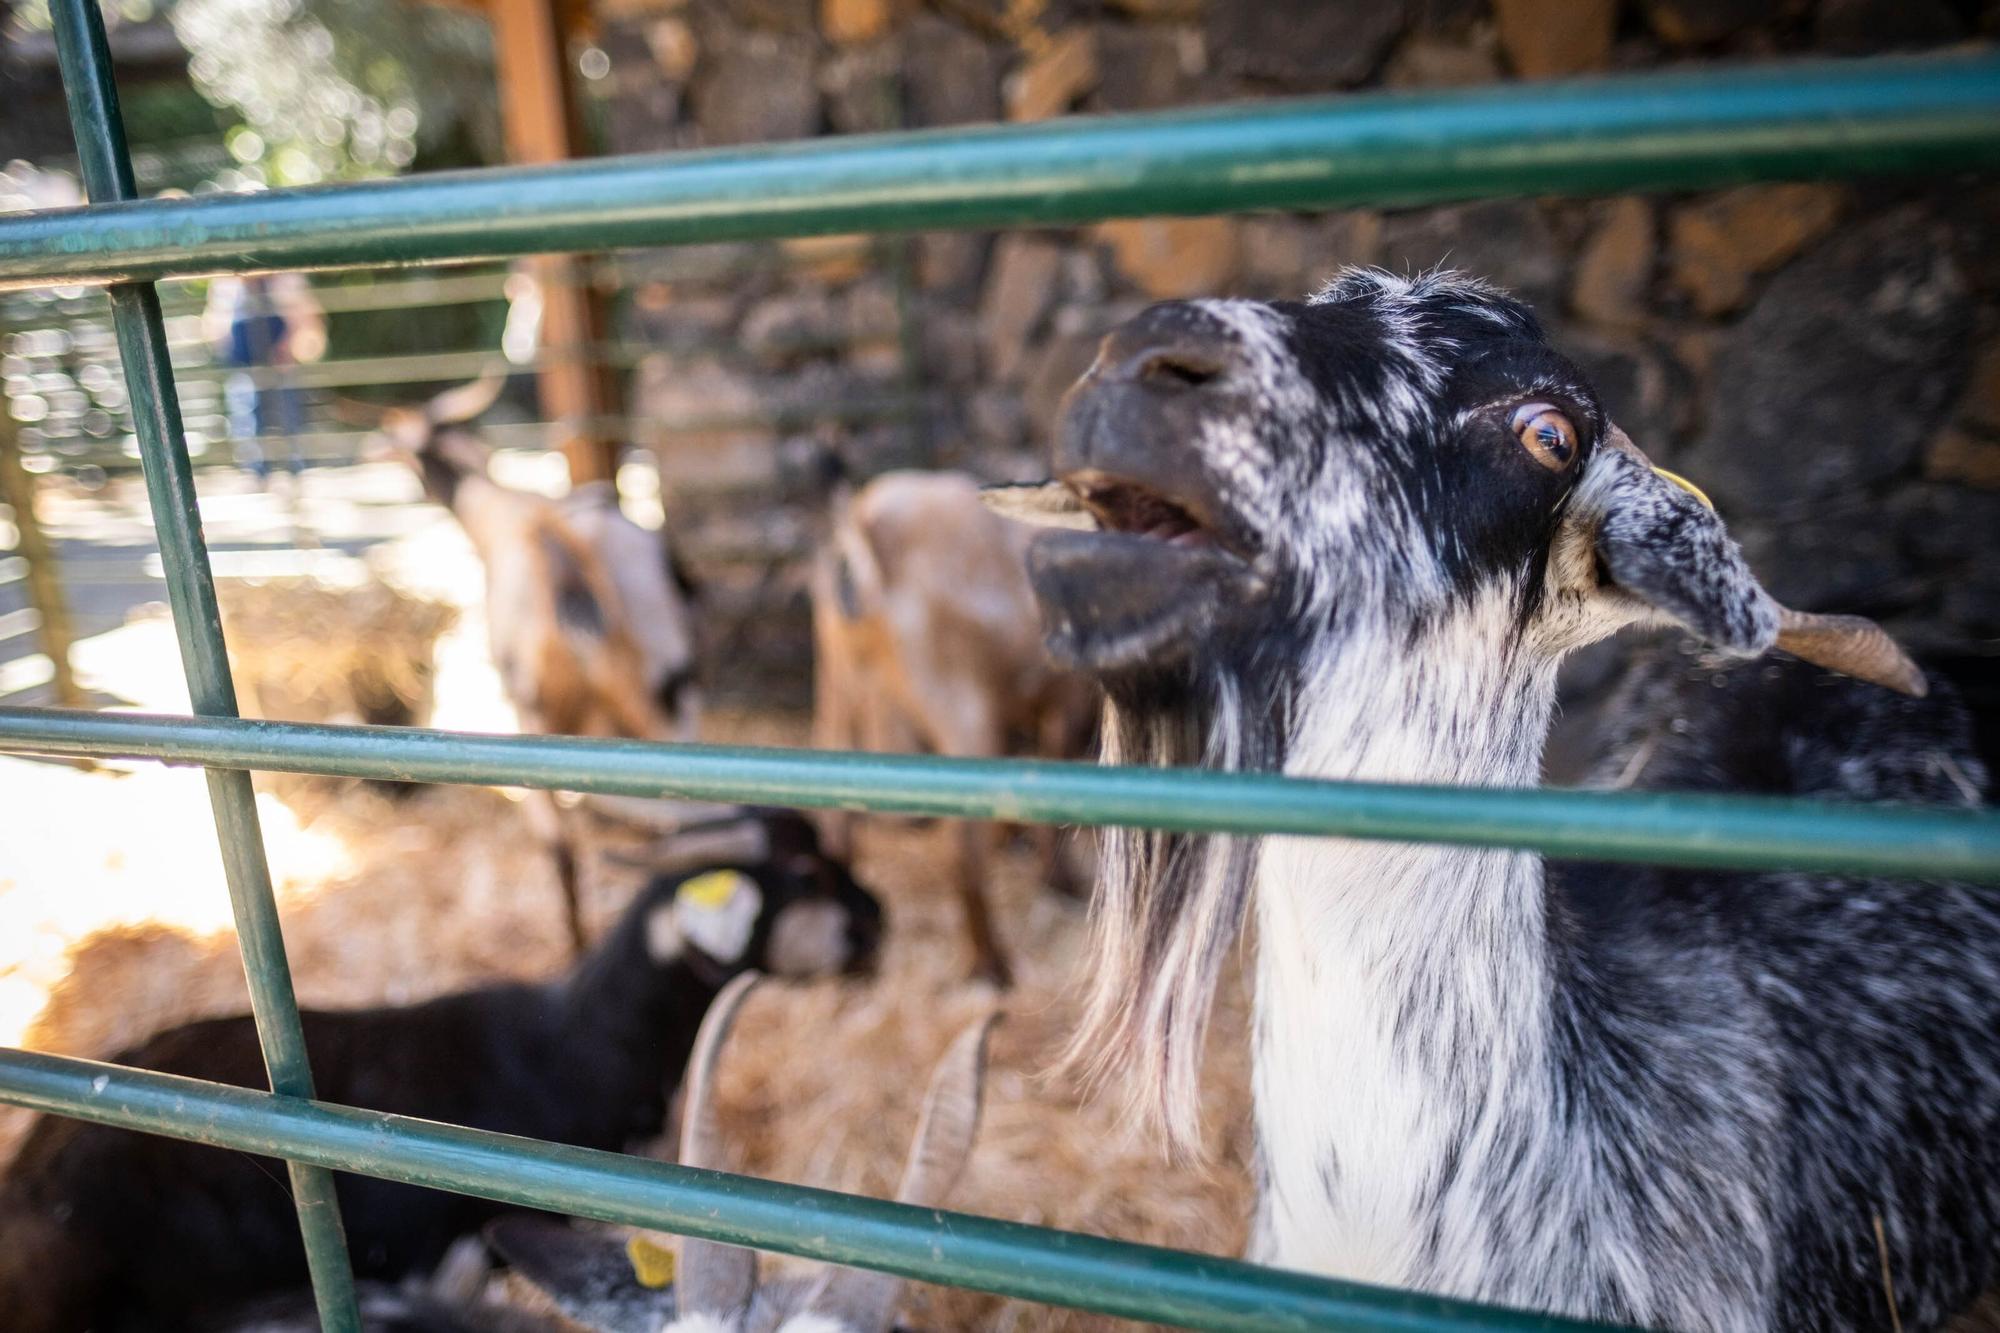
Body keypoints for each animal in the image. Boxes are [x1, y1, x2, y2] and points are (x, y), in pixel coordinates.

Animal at [808, 466, 1096, 984]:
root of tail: (863, 526)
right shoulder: (1065, 703)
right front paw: (1063, 880)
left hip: (835, 688)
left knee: (834, 815)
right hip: (960, 707)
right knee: (961, 845)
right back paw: (992, 967)